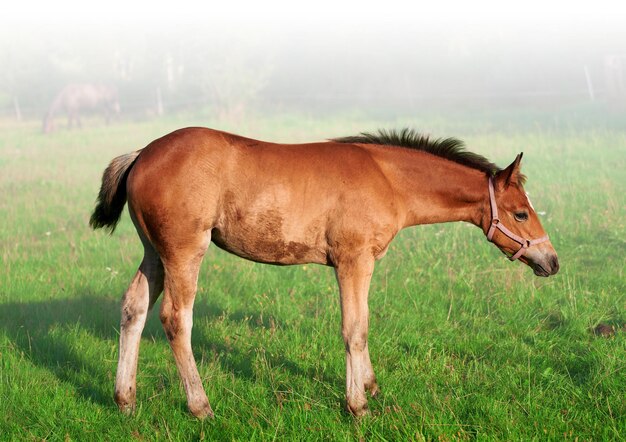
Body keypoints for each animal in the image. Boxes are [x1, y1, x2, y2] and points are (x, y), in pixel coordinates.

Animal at [86, 127, 556, 418]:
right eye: (520, 212)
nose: (551, 261)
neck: (387, 178)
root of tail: (142, 153)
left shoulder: (362, 263)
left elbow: (362, 325)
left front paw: (370, 387)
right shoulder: (353, 261)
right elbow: (354, 329)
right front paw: (357, 405)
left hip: (155, 253)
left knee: (133, 309)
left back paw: (125, 400)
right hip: (185, 253)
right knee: (175, 319)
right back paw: (200, 406)